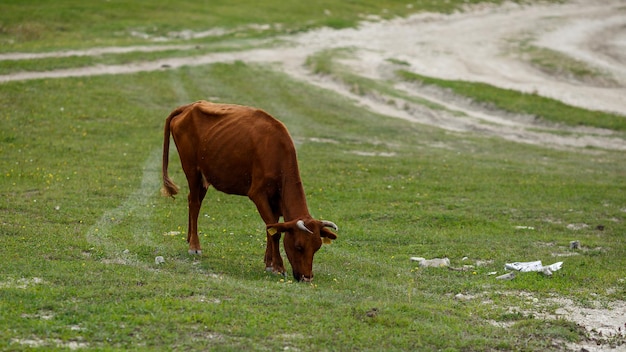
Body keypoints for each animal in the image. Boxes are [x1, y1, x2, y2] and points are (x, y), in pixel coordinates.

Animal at [161, 100, 336, 282]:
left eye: (317, 247)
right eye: (299, 246)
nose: (307, 278)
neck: (276, 150)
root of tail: (191, 105)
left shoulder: (275, 200)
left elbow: (272, 226)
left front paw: (268, 262)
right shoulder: (258, 194)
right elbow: (274, 233)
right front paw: (278, 267)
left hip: (204, 176)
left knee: (193, 200)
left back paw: (189, 238)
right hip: (191, 169)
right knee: (195, 203)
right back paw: (194, 246)